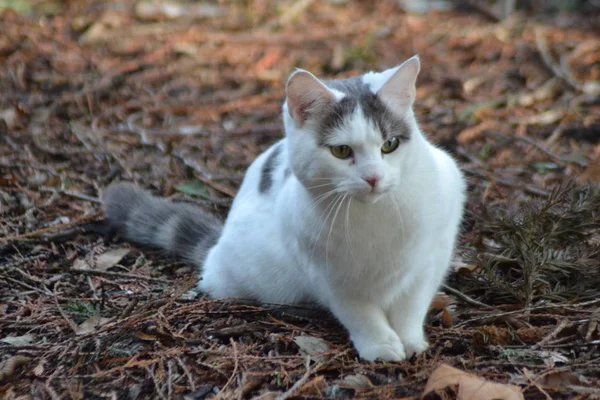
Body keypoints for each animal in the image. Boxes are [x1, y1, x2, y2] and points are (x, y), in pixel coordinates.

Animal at [105, 56, 466, 362]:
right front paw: (381, 345)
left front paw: (410, 340)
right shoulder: (328, 274)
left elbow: (411, 305)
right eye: (341, 151)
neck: (374, 217)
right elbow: (360, 313)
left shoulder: (430, 258)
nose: (373, 177)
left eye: (389, 144)